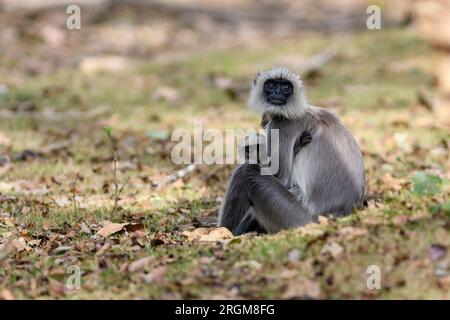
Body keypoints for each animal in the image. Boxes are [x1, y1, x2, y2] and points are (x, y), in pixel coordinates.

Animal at [218, 67, 366, 236]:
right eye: (271, 85)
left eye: (285, 87)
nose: (277, 92)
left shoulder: (282, 123)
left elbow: (280, 175)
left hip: (295, 218)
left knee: (247, 173)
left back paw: (224, 230)